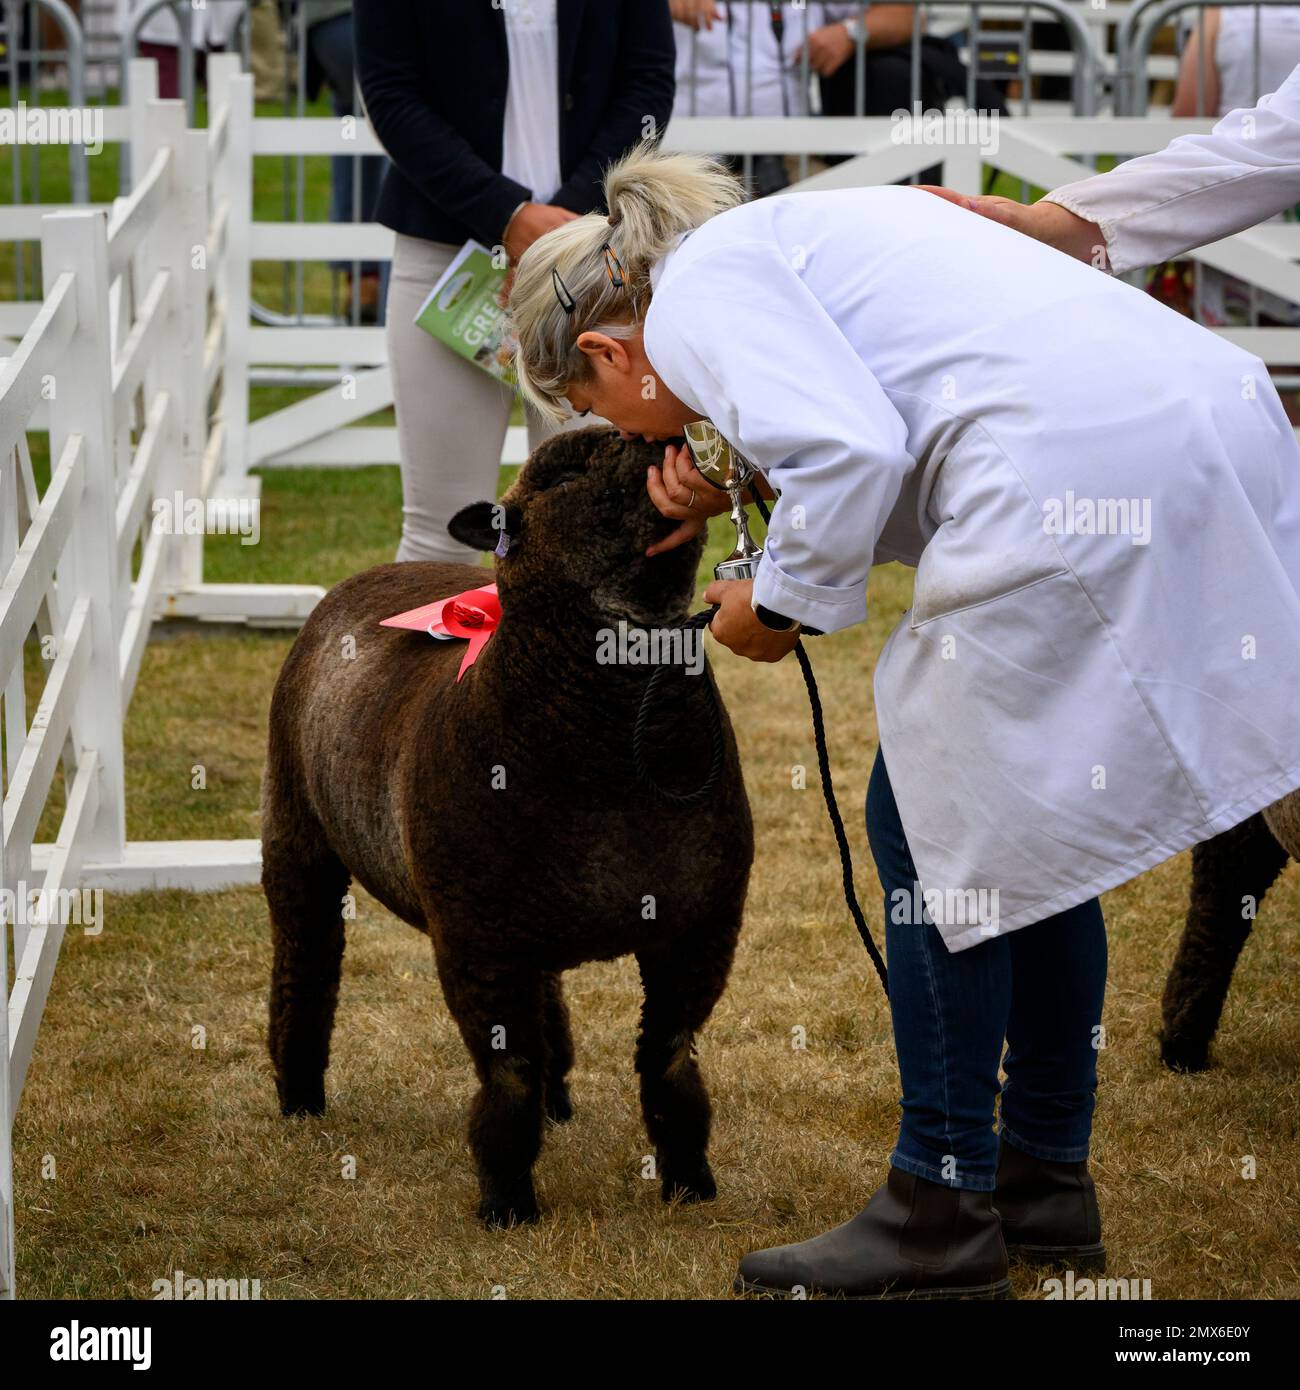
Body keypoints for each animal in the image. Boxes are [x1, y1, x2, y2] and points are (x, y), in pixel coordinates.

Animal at [261, 425, 750, 1228]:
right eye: (562, 476)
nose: (656, 437)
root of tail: (370, 575)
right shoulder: (478, 940)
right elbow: (509, 1072)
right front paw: (507, 1201)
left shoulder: (700, 924)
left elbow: (669, 1059)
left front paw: (690, 1181)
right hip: (296, 832)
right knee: (305, 957)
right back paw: (299, 1096)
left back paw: (560, 1100)